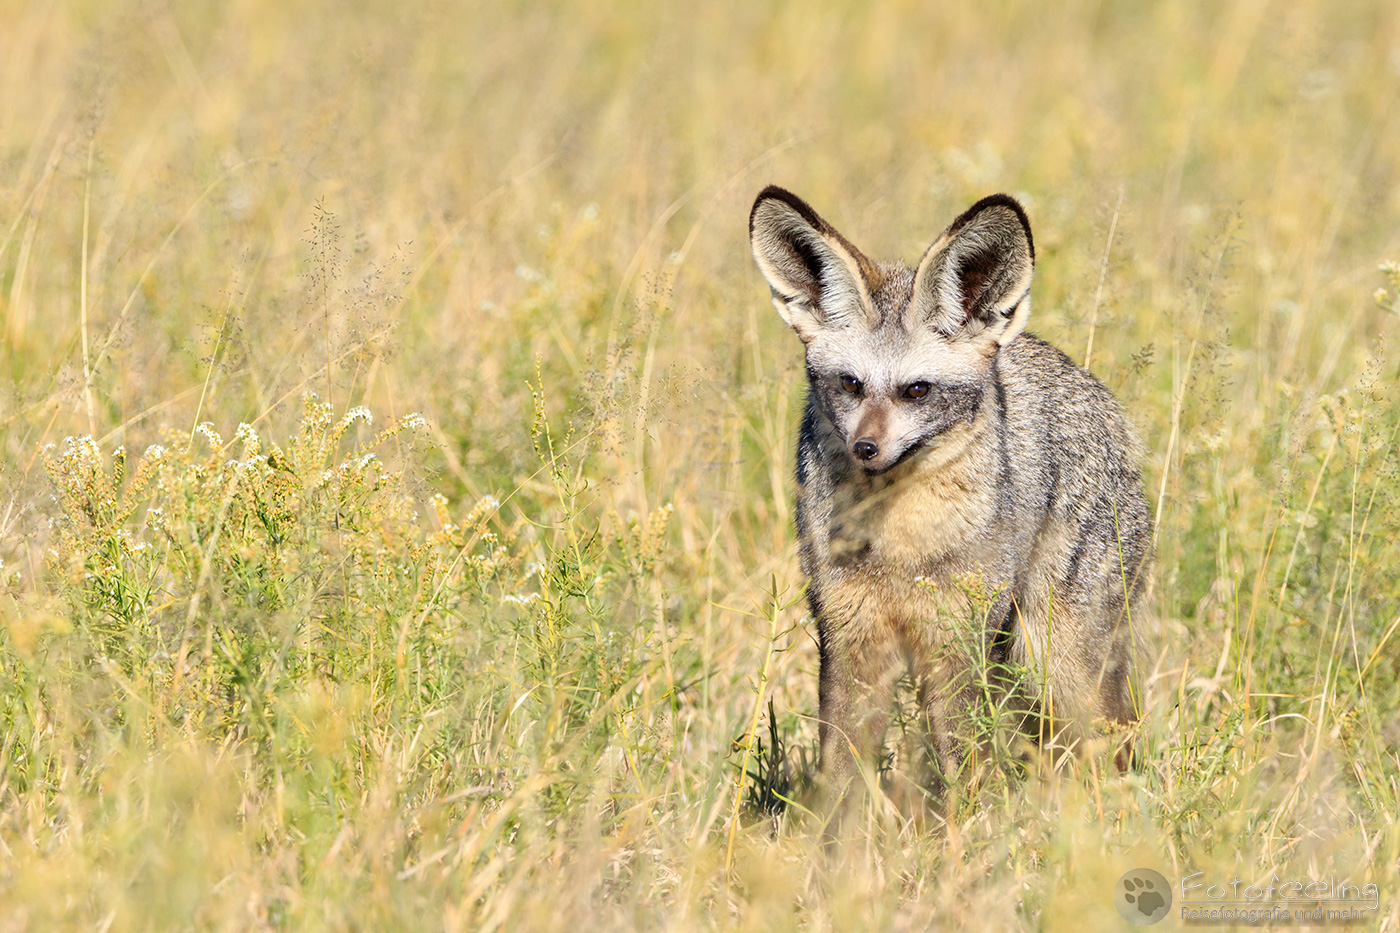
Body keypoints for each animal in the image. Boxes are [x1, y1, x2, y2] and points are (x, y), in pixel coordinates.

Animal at [748, 186, 1152, 823]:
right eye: (850, 384)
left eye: (916, 390)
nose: (866, 448)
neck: (897, 551)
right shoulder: (849, 638)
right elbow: (841, 783)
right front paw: (831, 849)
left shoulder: (957, 644)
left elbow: (965, 771)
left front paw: (968, 840)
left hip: (1059, 664)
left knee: (1108, 746)